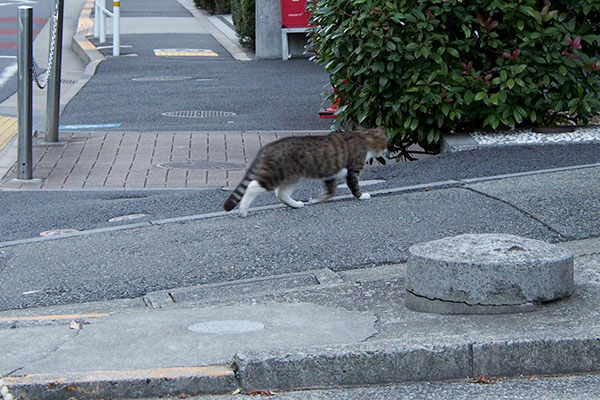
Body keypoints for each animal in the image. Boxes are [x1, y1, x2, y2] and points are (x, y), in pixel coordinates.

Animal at [223, 126, 386, 217]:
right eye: (385, 142)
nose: (389, 150)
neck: (363, 138)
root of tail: (269, 146)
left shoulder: (330, 174)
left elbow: (330, 191)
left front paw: (317, 199)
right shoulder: (352, 170)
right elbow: (354, 186)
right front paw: (362, 196)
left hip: (292, 177)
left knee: (281, 193)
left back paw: (296, 204)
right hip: (275, 174)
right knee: (253, 186)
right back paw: (243, 211)